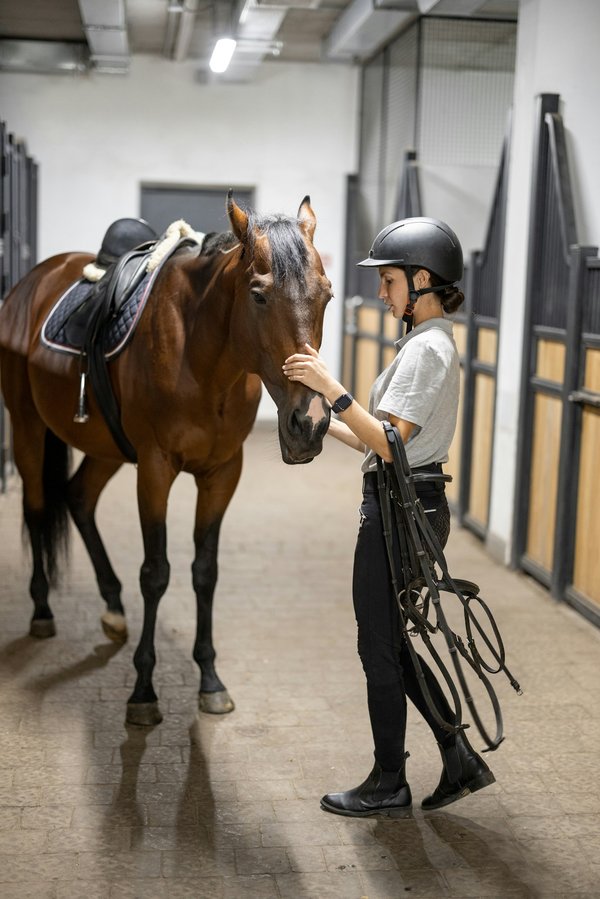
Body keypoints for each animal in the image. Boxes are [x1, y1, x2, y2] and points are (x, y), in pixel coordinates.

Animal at [0, 194, 332, 725]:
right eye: (259, 296)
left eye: (327, 295)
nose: (312, 422)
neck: (203, 356)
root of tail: (35, 279)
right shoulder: (156, 470)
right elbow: (156, 573)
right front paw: (143, 690)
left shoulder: (222, 473)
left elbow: (204, 571)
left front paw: (210, 680)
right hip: (28, 425)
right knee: (35, 508)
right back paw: (42, 612)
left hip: (108, 446)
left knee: (78, 498)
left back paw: (113, 609)